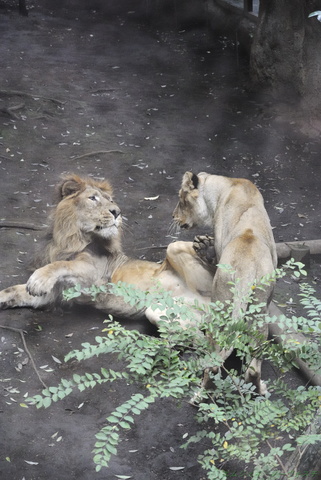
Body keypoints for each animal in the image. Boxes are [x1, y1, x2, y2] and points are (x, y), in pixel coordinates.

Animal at [0, 172, 215, 326]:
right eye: (93, 198)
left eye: (110, 200)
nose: (117, 212)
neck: (70, 240)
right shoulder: (54, 294)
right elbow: (14, 290)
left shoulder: (93, 276)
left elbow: (62, 265)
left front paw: (38, 279)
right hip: (161, 313)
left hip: (174, 248)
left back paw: (207, 248)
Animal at [171, 171, 276, 392]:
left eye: (181, 199)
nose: (173, 216)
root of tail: (247, 268)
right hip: (259, 311)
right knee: (253, 366)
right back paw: (260, 388)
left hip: (221, 304)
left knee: (214, 362)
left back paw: (202, 391)